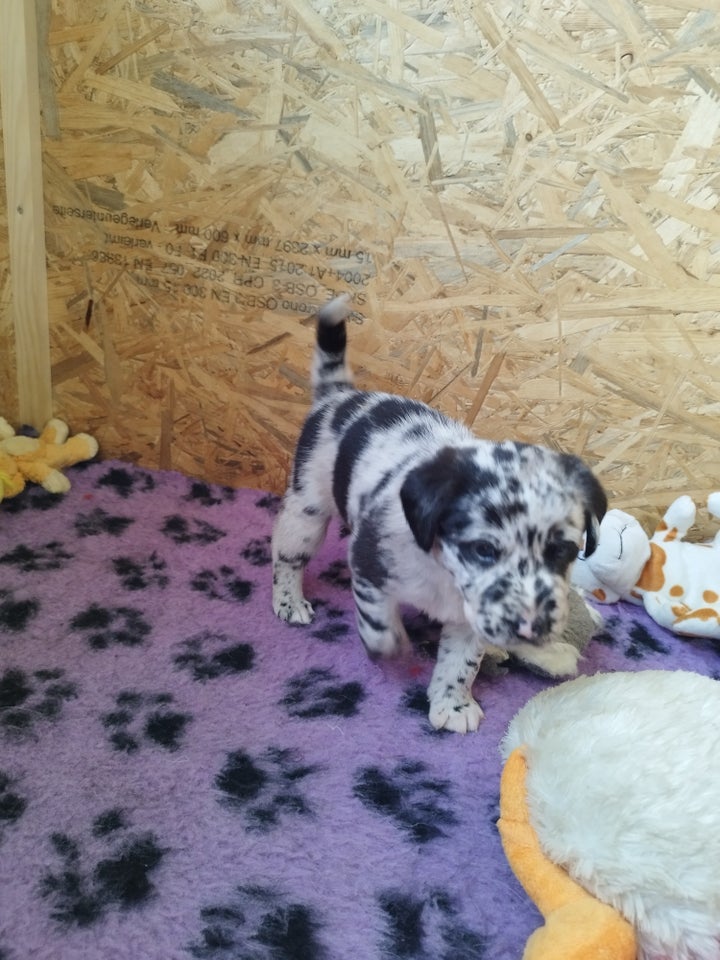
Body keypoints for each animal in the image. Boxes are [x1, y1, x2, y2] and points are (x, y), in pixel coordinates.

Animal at [272, 296, 608, 732]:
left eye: (563, 552)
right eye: (484, 550)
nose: (532, 628)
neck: (444, 573)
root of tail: (339, 397)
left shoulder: (472, 618)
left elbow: (461, 664)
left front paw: (454, 704)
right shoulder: (369, 557)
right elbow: (377, 617)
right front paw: (390, 647)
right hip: (306, 511)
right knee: (286, 558)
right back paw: (288, 602)